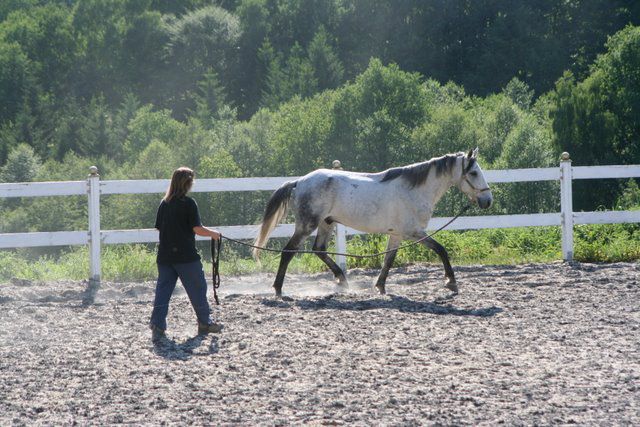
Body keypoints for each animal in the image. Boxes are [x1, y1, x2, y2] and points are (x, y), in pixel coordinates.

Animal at [254, 148, 493, 297]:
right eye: (473, 172)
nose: (487, 200)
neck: (414, 190)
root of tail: (298, 182)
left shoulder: (397, 234)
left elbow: (388, 260)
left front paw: (380, 287)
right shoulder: (413, 232)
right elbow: (441, 250)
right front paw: (451, 282)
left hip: (327, 223)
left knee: (319, 249)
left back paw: (342, 281)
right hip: (307, 224)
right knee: (288, 252)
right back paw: (278, 289)